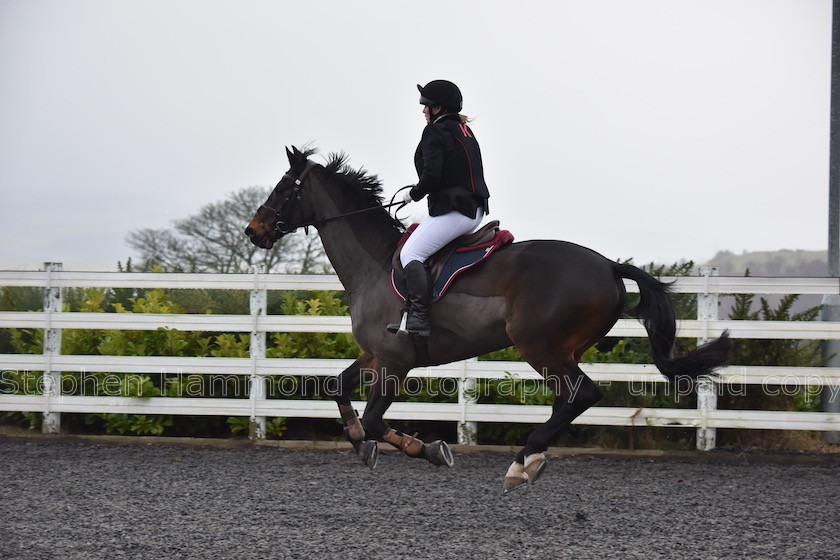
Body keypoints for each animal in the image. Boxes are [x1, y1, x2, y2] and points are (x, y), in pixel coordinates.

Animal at [243, 147, 728, 492]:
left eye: (283, 188)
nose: (253, 230)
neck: (375, 264)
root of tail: (609, 265)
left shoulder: (396, 362)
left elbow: (378, 418)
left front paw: (427, 449)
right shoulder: (375, 355)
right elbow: (339, 388)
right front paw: (360, 440)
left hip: (539, 345)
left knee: (582, 393)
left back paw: (521, 463)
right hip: (561, 350)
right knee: (567, 398)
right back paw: (531, 459)